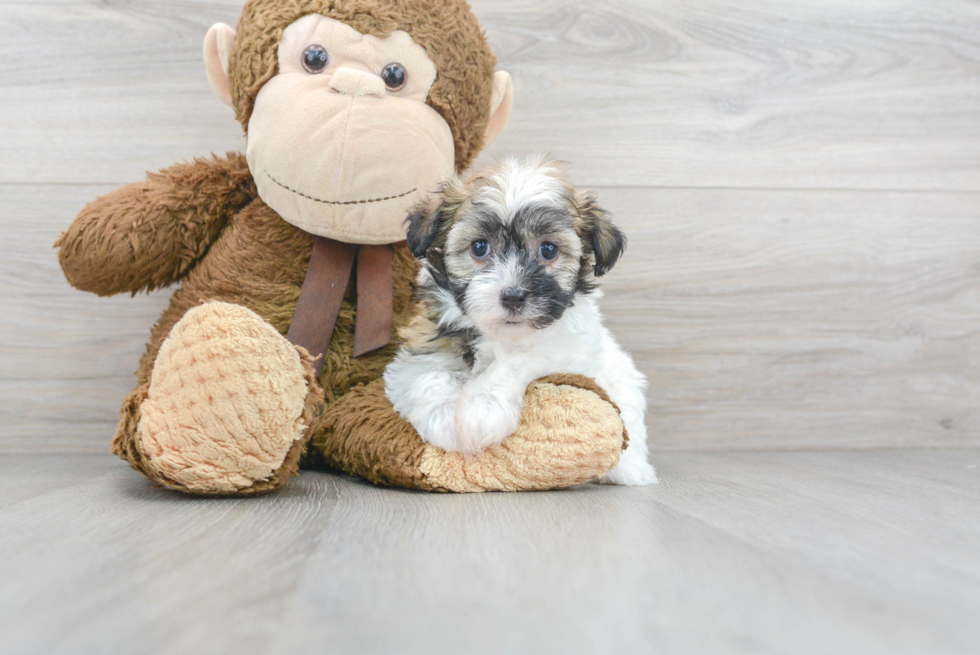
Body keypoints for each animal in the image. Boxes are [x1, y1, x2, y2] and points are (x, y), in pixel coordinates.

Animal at [382, 158, 660, 486]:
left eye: (548, 249)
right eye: (479, 247)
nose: (513, 296)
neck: (499, 335)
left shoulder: (566, 344)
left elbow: (518, 361)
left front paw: (481, 409)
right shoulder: (425, 336)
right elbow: (427, 372)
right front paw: (445, 415)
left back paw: (631, 469)